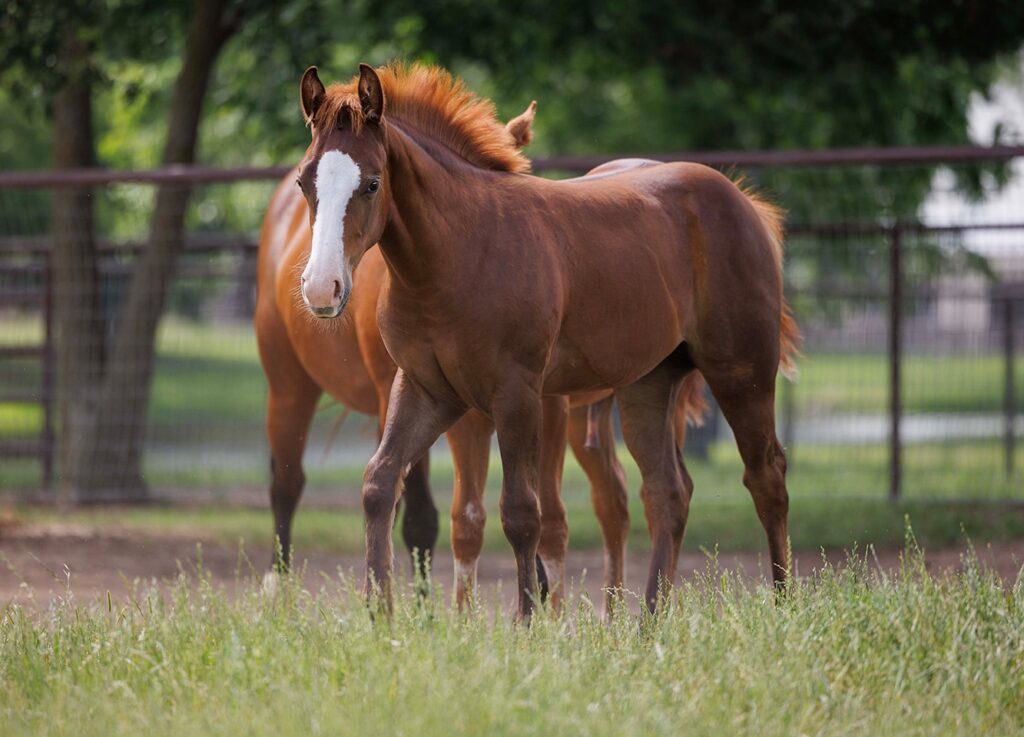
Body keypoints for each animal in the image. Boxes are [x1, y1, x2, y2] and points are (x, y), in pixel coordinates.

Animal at [293, 62, 799, 619]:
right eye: (303, 181)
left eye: (372, 183)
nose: (321, 288)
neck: (458, 253)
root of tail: (742, 200)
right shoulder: (427, 389)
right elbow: (380, 483)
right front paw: (379, 615)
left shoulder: (518, 394)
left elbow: (522, 512)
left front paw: (528, 623)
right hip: (648, 382)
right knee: (668, 491)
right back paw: (648, 623)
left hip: (742, 371)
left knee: (766, 476)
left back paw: (782, 607)